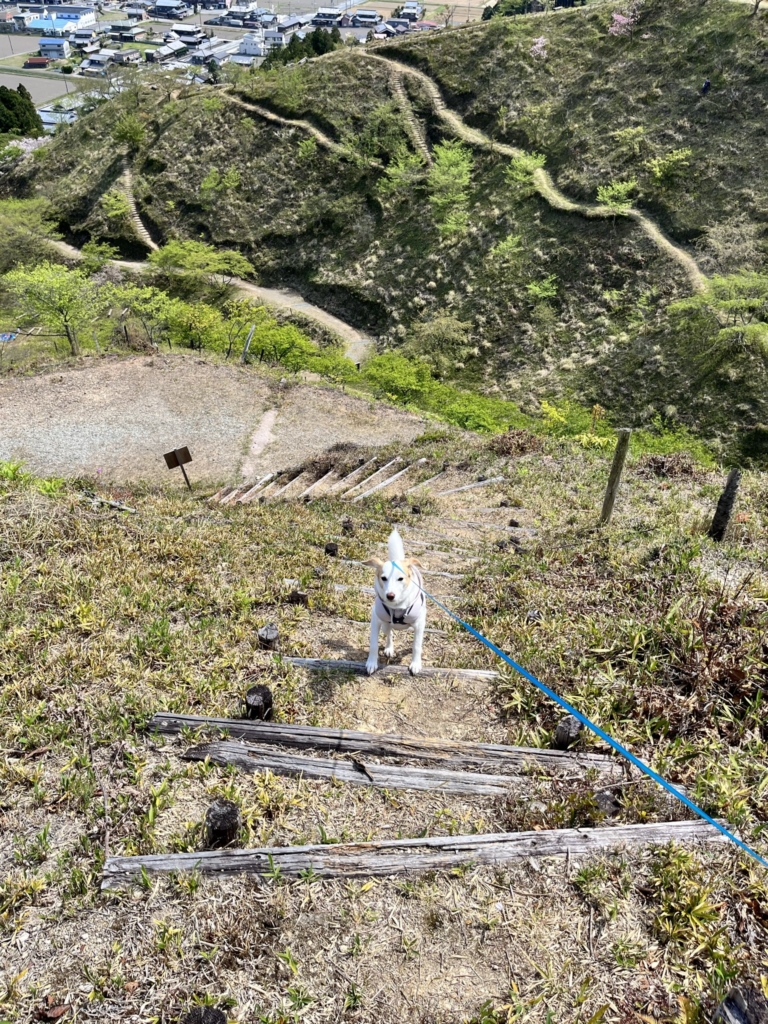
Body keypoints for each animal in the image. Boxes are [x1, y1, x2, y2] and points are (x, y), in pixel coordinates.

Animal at [364, 532, 428, 675]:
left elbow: (416, 645)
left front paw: (415, 664)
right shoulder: (375, 620)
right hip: (385, 625)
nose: (390, 595)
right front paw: (371, 663)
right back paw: (389, 648)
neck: (397, 606)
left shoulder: (419, 624)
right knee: (389, 633)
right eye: (383, 578)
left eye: (400, 578)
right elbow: (373, 644)